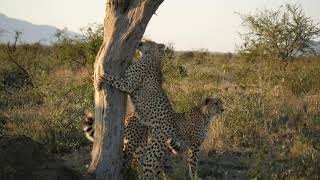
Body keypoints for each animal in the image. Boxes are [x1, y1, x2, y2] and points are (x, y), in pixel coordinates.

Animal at [84, 97, 225, 179]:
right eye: (216, 103)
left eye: (222, 103)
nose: (223, 109)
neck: (206, 115)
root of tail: (129, 114)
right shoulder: (194, 146)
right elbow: (193, 164)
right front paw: (195, 177)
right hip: (131, 143)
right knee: (125, 157)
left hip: (141, 145)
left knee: (137, 162)